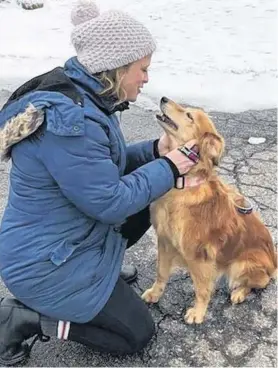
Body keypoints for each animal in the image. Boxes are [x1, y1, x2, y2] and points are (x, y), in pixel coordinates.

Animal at [142, 96, 276, 324]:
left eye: (188, 115)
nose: (163, 98)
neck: (183, 185)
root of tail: (274, 263)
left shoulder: (199, 255)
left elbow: (202, 289)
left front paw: (198, 312)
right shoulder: (165, 241)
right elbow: (161, 272)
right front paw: (155, 293)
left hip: (241, 265)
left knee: (259, 282)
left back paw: (239, 292)